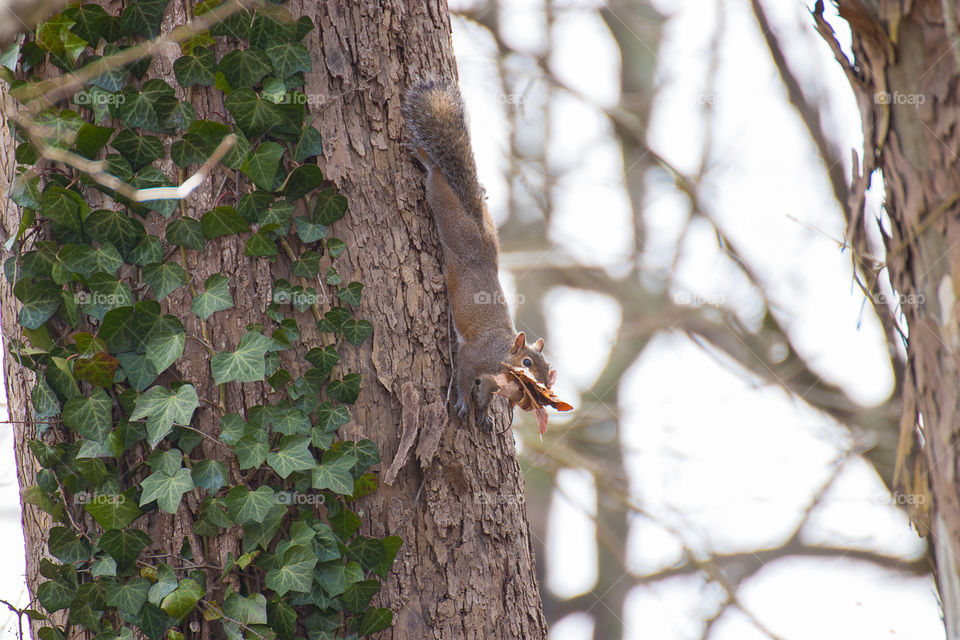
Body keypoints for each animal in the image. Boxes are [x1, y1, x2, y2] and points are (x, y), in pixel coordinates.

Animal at [404, 81, 556, 430]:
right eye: (527, 362)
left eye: (548, 366)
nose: (545, 384)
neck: (501, 354)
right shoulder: (474, 356)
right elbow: (462, 375)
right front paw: (462, 404)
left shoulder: (490, 379)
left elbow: (485, 394)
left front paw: (484, 415)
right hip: (447, 214)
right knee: (436, 176)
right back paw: (424, 157)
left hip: (487, 226)